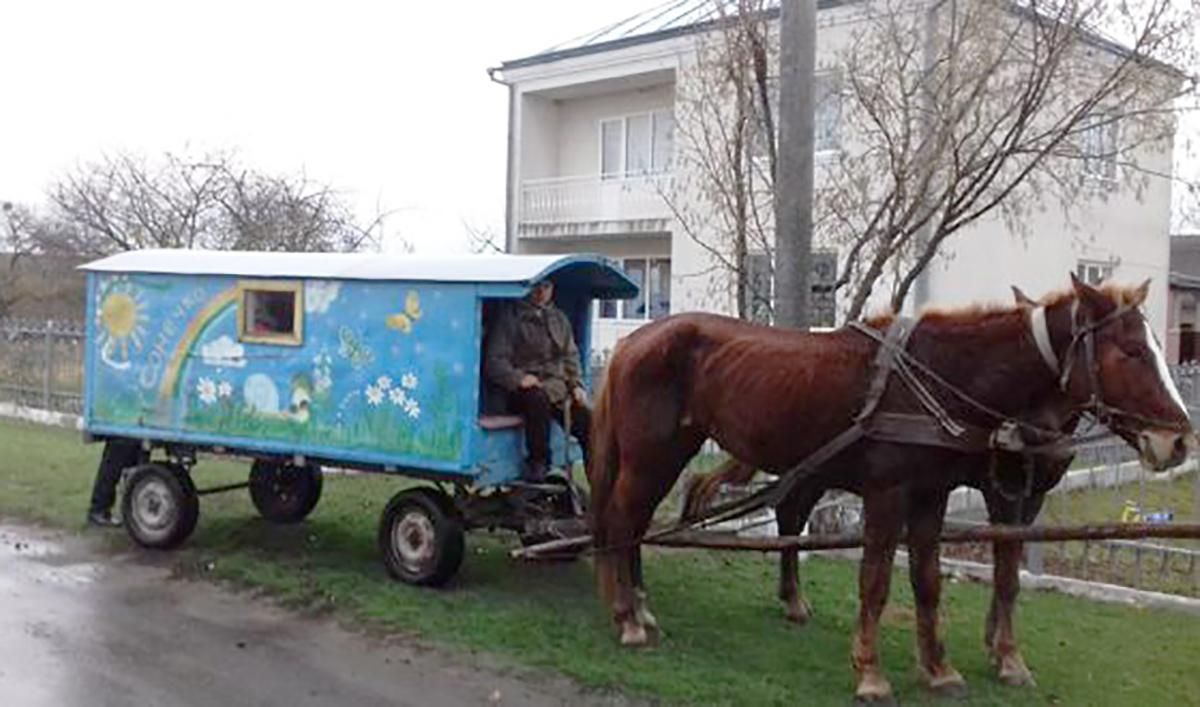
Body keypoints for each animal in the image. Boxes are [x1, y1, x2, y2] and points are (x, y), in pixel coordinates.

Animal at [588, 276, 1190, 700]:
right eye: (1132, 352)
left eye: (1153, 348)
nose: (1179, 440)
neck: (936, 378)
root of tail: (633, 342)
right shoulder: (894, 493)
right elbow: (877, 581)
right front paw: (873, 674)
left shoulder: (935, 496)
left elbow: (932, 581)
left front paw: (943, 668)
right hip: (651, 456)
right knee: (622, 520)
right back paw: (627, 617)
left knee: (642, 523)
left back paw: (642, 607)